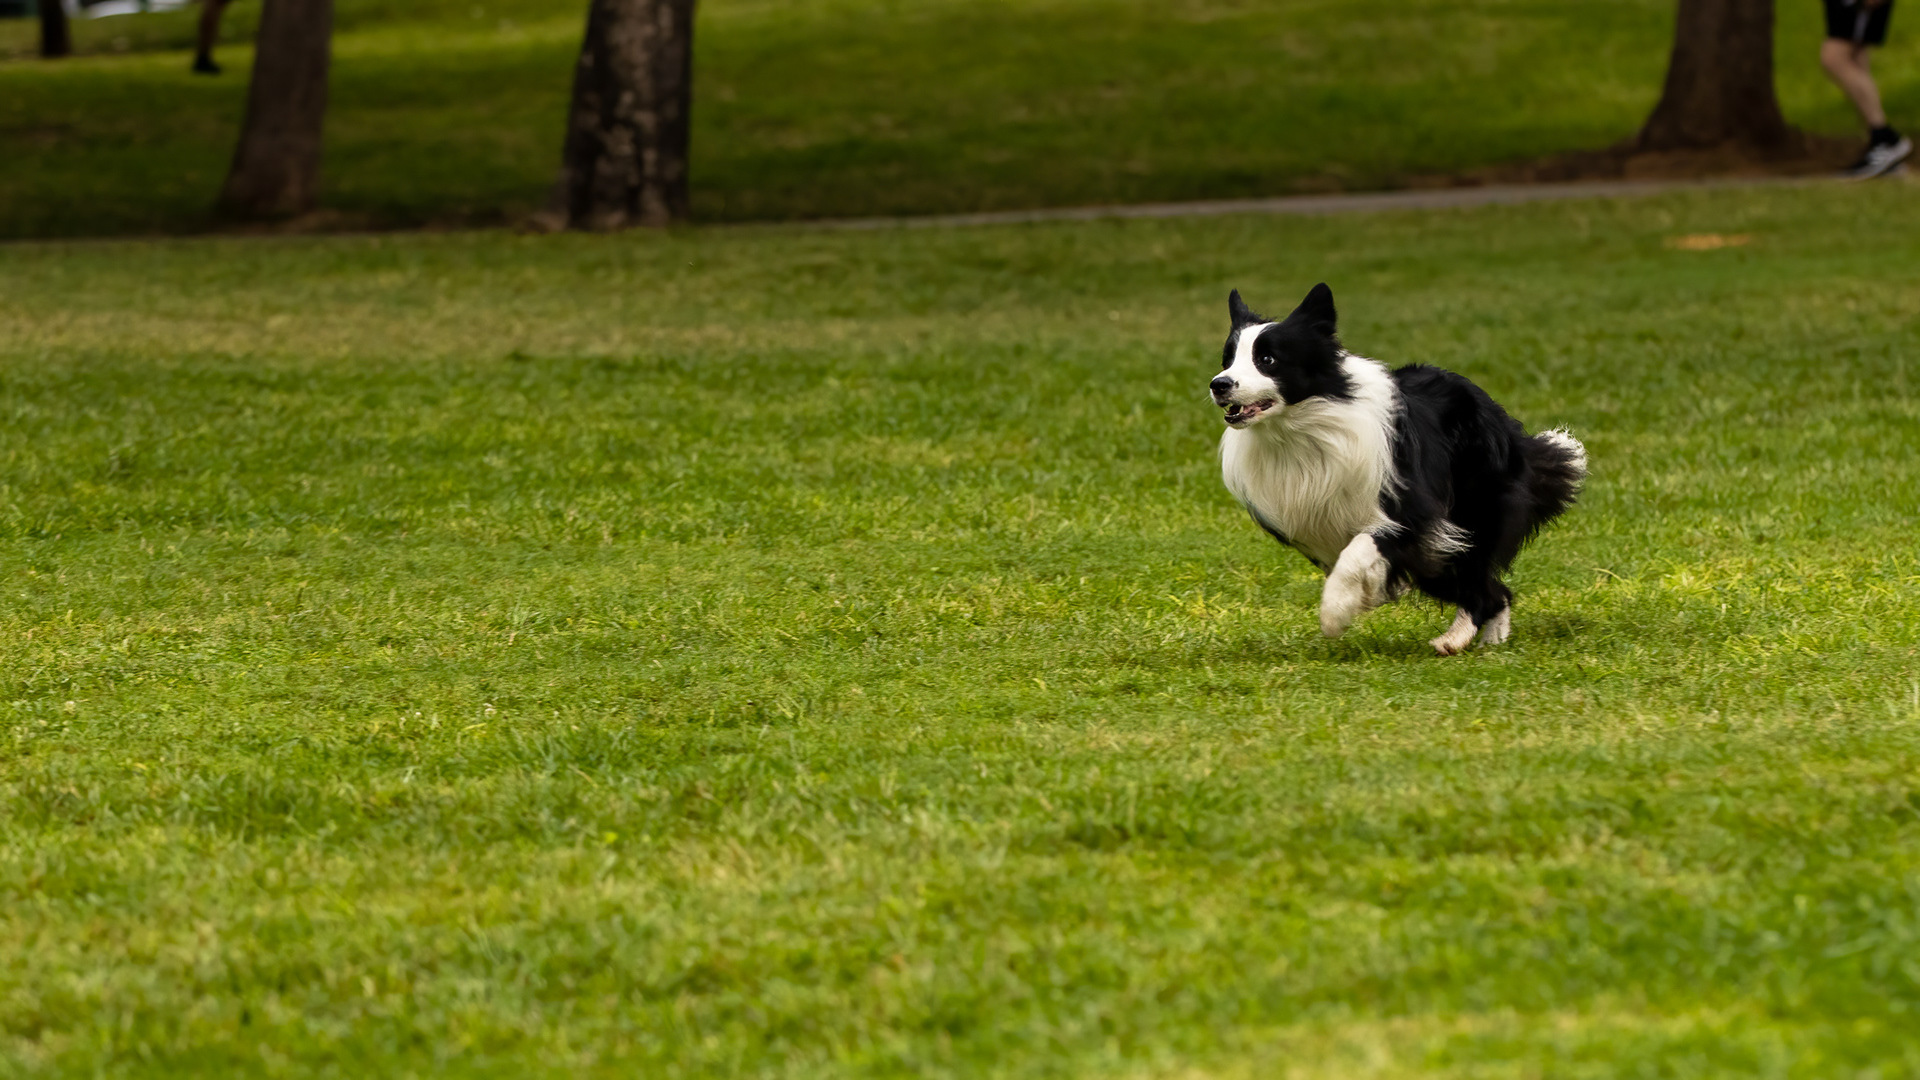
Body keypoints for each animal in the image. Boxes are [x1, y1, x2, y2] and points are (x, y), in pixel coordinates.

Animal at [1210, 284, 1586, 655]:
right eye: (1228, 360)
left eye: (1267, 360)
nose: (1219, 384)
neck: (1301, 428)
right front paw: (1360, 598)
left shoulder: (1412, 514)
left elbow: (1360, 550)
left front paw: (1335, 612)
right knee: (1491, 590)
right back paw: (1481, 638)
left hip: (1473, 509)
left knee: (1482, 582)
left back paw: (1458, 639)